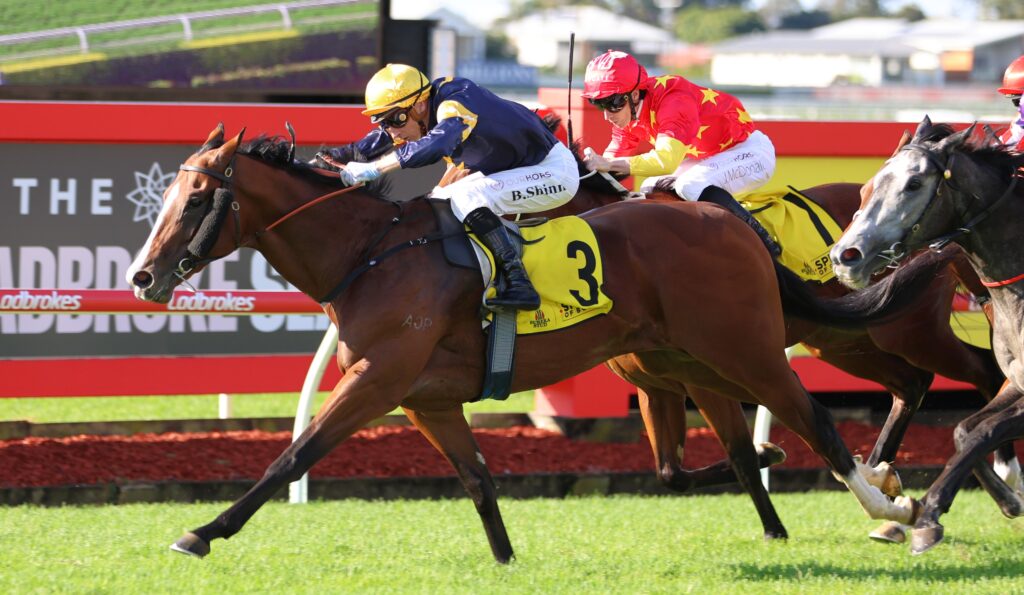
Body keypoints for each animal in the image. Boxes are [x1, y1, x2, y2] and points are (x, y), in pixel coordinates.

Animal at [127, 124, 941, 562]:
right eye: (164, 195)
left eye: (196, 201)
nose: (141, 276)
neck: (372, 252)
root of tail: (724, 216)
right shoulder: (426, 399)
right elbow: (480, 479)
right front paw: (506, 557)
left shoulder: (378, 379)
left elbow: (293, 455)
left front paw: (202, 532)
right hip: (680, 358)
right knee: (733, 448)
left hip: (749, 349)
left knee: (825, 419)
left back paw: (895, 505)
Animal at [831, 117, 1024, 555]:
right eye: (869, 185)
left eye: (914, 184)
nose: (845, 256)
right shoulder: (1017, 381)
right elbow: (964, 431)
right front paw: (1007, 499)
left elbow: (983, 431)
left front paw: (930, 512)